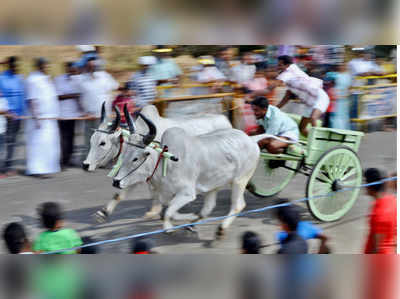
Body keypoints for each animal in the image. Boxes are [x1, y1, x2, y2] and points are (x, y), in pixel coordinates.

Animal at [86, 103, 233, 223]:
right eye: (91, 140)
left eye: (103, 143)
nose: (85, 165)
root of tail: (224, 119)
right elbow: (121, 194)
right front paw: (102, 213)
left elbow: (137, 193)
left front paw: (155, 211)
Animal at [112, 109, 260, 237]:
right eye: (124, 153)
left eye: (135, 158)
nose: (116, 181)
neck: (165, 162)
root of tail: (251, 140)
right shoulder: (167, 194)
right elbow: (170, 211)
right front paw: (191, 217)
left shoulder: (187, 193)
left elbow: (169, 212)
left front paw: (169, 228)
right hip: (213, 185)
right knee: (208, 208)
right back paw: (193, 223)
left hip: (239, 181)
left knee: (238, 205)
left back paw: (221, 229)